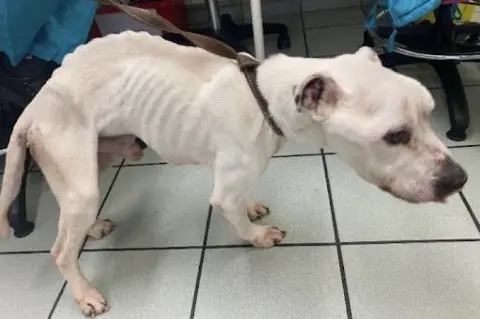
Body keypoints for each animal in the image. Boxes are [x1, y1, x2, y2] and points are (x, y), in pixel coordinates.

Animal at [0, 30, 464, 318]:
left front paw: (254, 207)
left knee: (69, 215)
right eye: (396, 135)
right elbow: (235, 216)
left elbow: (244, 202)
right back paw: (85, 294)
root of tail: (34, 104)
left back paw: (92, 228)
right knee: (61, 250)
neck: (267, 98)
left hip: (92, 163)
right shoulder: (224, 190)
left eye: (429, 112)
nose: (459, 180)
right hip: (80, 181)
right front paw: (257, 236)